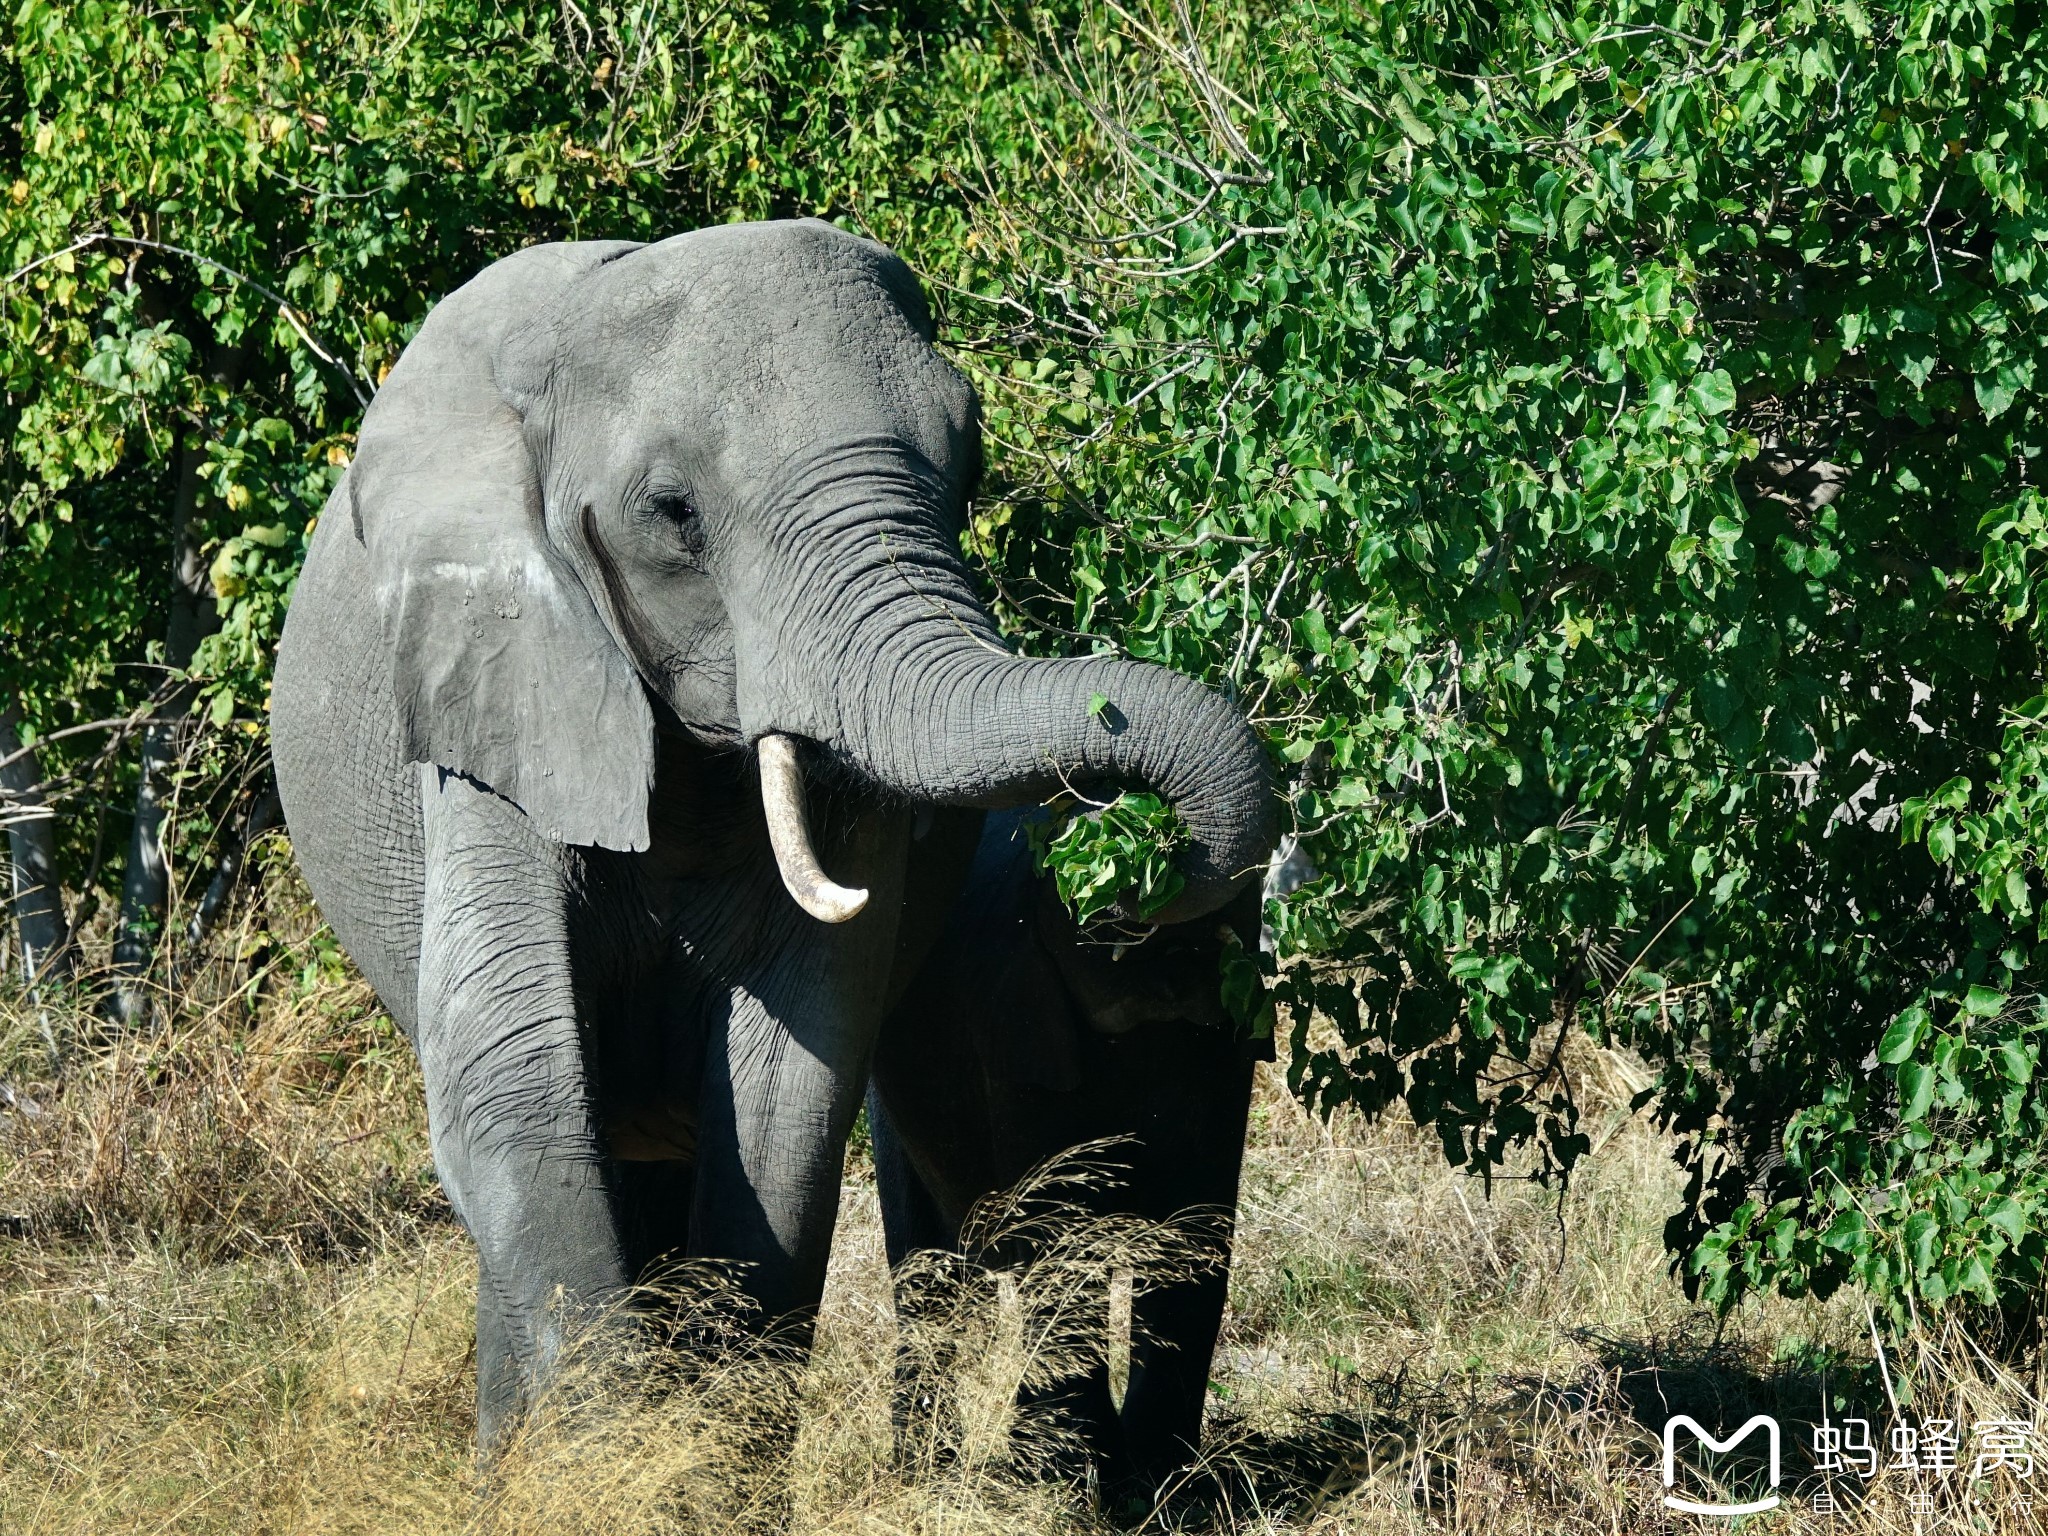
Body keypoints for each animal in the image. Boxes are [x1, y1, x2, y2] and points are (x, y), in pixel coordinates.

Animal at [864, 811, 1261, 1507]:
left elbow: (1197, 1233)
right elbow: (1061, 1235)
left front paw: (1170, 1491)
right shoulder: (1016, 1023)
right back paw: (930, 1471)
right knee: (927, 1269)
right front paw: (1090, 1492)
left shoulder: (1222, 1048)